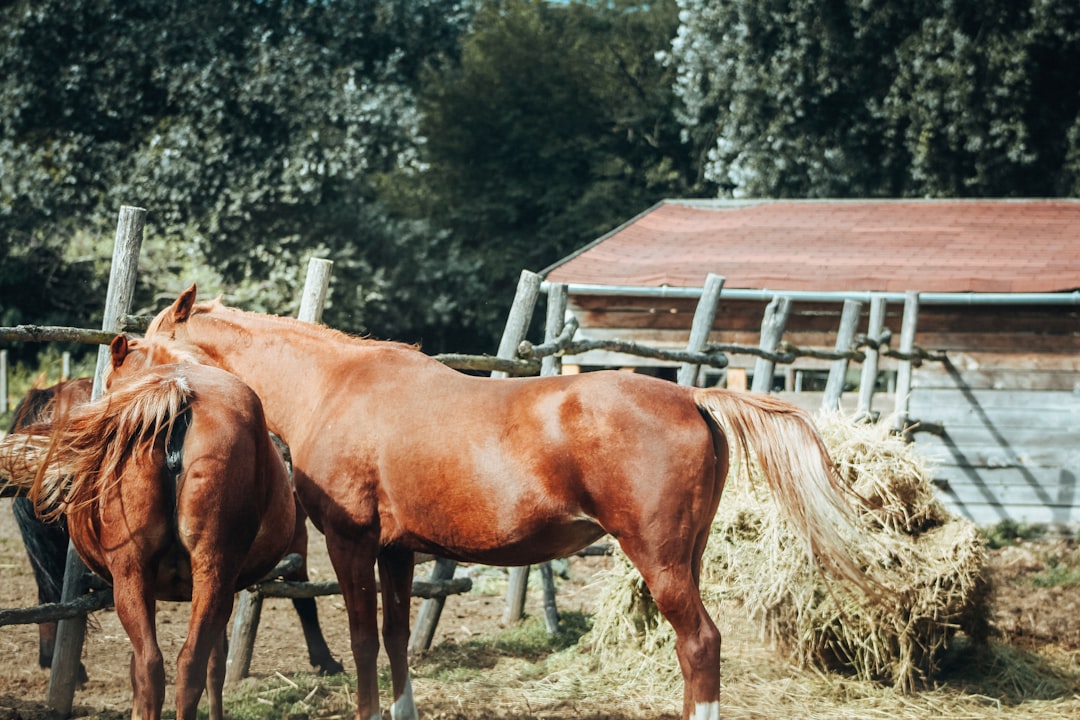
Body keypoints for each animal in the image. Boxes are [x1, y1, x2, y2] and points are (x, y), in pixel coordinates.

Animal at [0, 337, 298, 720]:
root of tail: (178, 393)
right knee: (181, 666)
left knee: (156, 668)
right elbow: (215, 667)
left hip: (142, 574)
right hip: (204, 576)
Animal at [137, 284, 879, 720]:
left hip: (660, 560)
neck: (334, 385)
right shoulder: (397, 553)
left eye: (142, 346)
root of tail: (691, 395)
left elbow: (362, 641)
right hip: (686, 557)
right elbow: (397, 640)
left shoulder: (352, 546)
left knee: (699, 643)